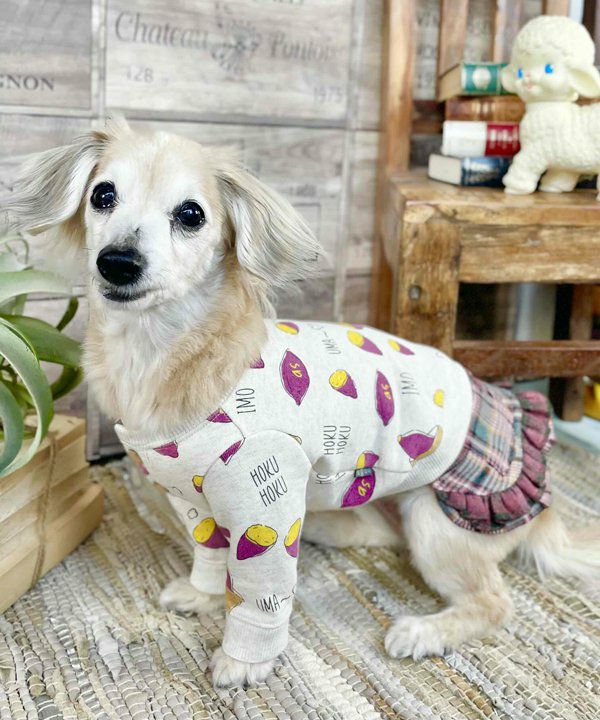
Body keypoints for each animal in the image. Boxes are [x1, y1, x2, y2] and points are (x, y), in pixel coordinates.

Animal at [6, 118, 600, 688]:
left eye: (191, 214)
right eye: (103, 195)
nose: (118, 262)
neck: (161, 352)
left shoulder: (265, 505)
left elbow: (259, 597)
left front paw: (243, 661)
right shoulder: (197, 504)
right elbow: (212, 554)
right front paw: (204, 596)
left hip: (438, 522)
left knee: (493, 603)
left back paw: (425, 631)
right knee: (382, 538)